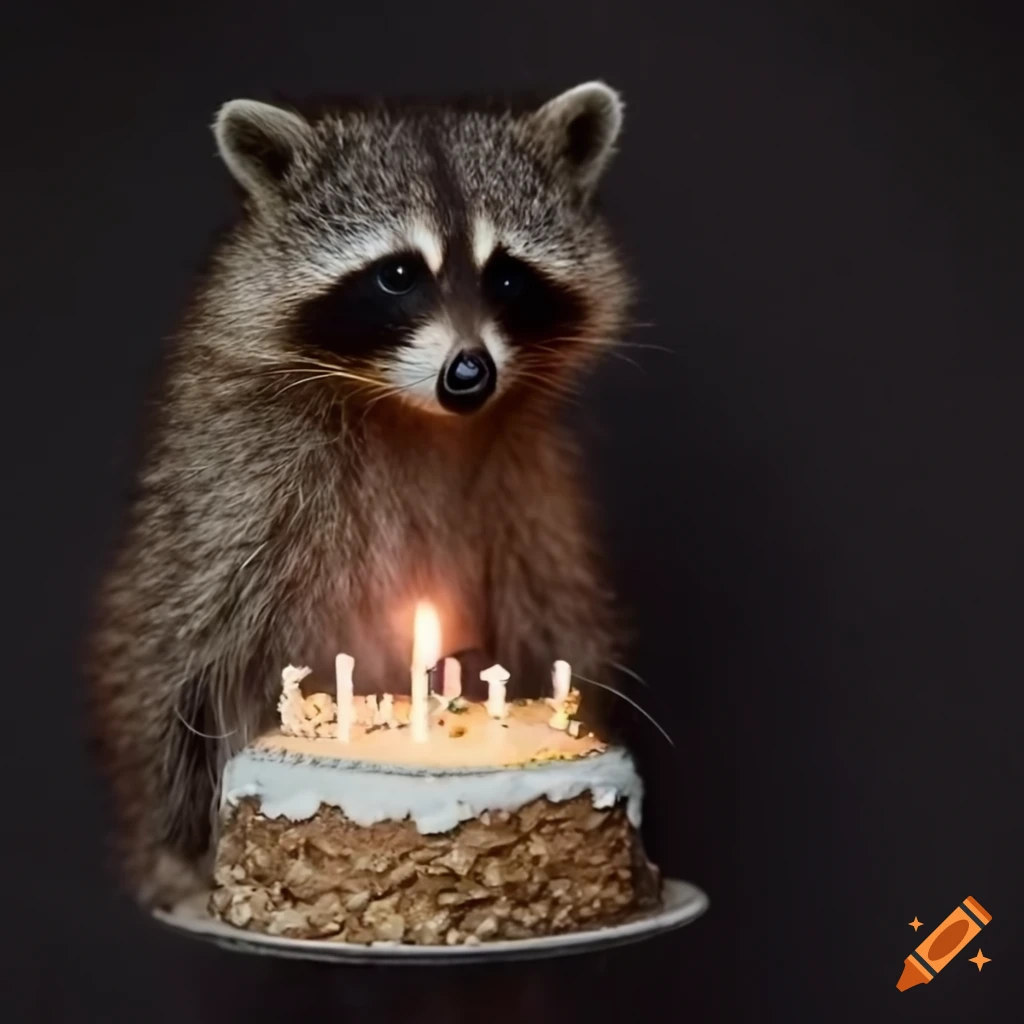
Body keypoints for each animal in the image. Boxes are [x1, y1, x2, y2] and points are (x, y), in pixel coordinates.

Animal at [88, 82, 632, 908]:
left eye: (507, 276)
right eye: (398, 275)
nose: (469, 373)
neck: (416, 413)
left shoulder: (528, 495)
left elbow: (553, 625)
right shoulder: (244, 491)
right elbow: (190, 659)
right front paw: (182, 854)